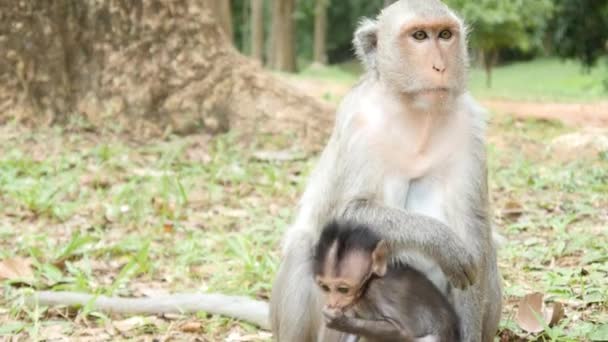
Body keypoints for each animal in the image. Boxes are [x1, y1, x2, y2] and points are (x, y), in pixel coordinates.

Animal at [314, 220, 460, 340]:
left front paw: (338, 321)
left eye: (343, 289)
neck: (368, 285)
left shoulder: (378, 293)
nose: (333, 302)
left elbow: (402, 331)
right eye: (325, 288)